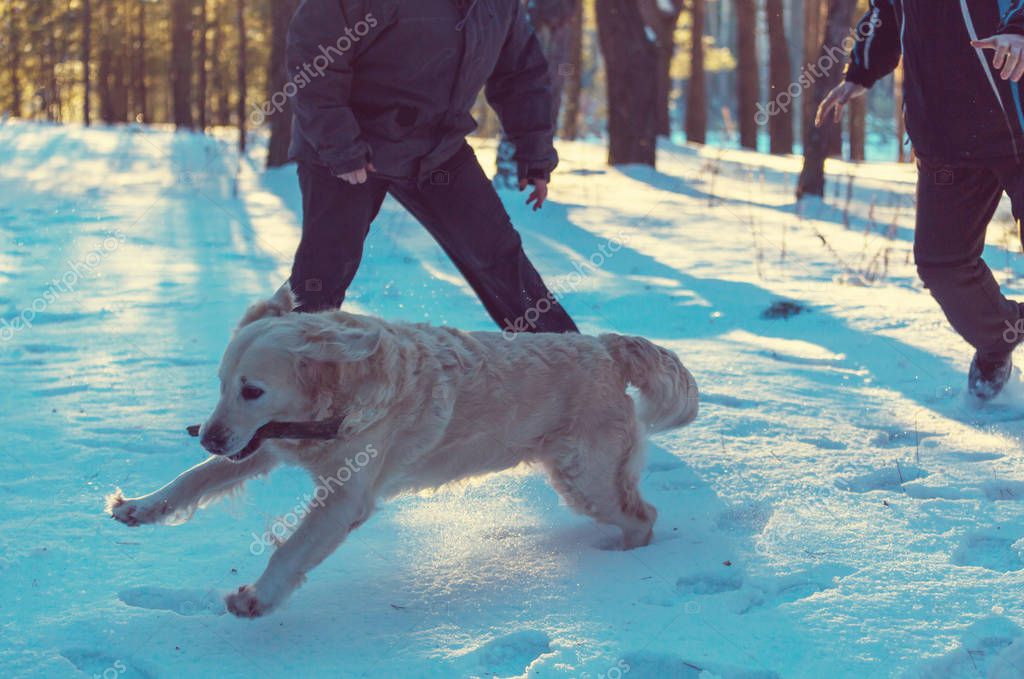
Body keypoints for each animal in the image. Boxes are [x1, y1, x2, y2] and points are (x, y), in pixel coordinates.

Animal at [105, 288, 696, 618]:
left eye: (253, 390)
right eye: (223, 384)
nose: (207, 435)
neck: (338, 401)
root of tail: (606, 346)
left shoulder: (345, 497)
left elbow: (289, 552)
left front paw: (257, 598)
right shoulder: (265, 443)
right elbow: (193, 479)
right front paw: (138, 507)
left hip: (586, 477)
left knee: (644, 515)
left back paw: (623, 563)